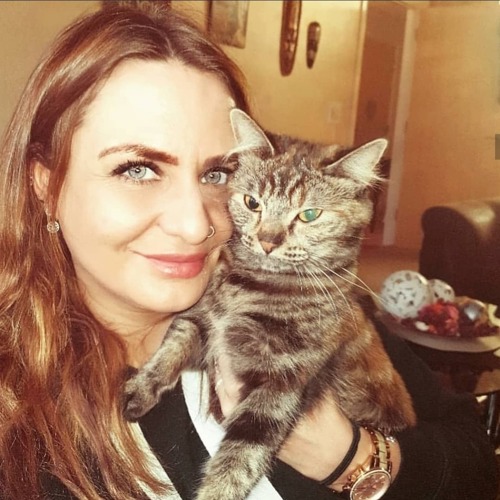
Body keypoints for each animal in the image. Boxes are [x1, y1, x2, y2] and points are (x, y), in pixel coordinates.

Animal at [124, 109, 414, 500]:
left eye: (309, 215)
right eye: (252, 203)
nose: (267, 241)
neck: (250, 286)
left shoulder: (280, 385)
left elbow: (240, 457)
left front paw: (216, 492)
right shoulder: (203, 327)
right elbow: (171, 347)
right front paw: (141, 388)